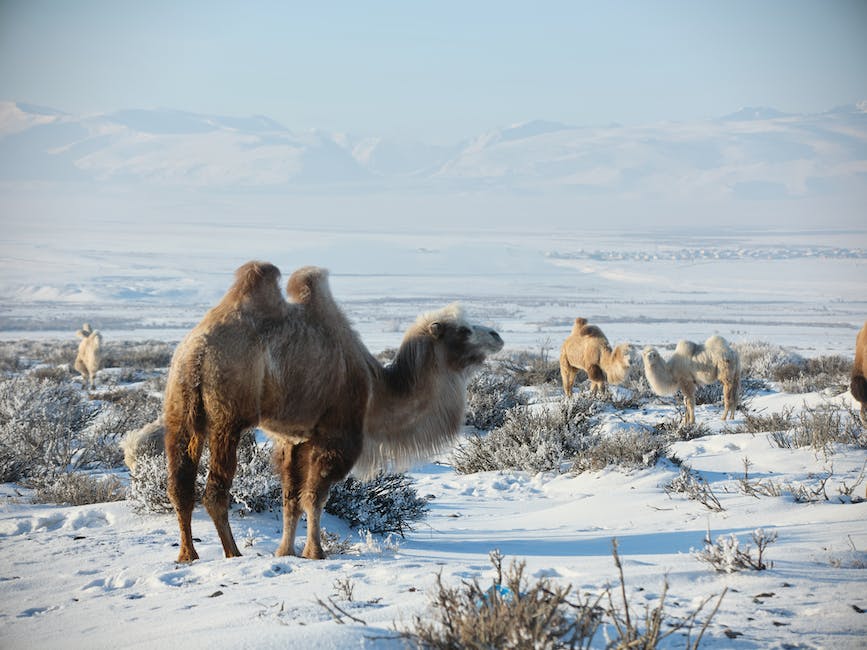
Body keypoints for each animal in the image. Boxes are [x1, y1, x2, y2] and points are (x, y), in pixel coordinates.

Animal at [164, 260, 502, 560]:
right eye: (464, 330)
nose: (497, 335)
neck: (375, 388)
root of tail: (197, 350)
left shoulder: (293, 440)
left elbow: (291, 499)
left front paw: (285, 551)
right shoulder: (337, 435)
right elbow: (315, 498)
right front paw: (315, 553)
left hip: (180, 406)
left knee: (179, 485)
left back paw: (187, 555)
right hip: (228, 416)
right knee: (215, 490)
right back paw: (232, 552)